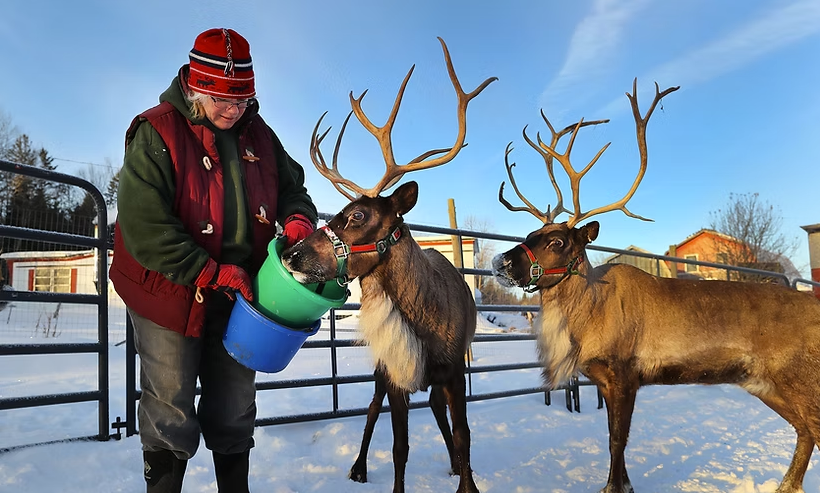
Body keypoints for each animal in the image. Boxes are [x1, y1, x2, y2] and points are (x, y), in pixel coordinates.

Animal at [281, 37, 496, 493]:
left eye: (358, 215)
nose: (292, 253)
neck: (424, 323)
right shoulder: (396, 372)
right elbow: (400, 447)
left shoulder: (455, 370)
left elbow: (465, 435)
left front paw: (467, 480)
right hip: (382, 366)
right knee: (370, 409)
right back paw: (359, 467)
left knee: (435, 408)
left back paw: (454, 463)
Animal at [491, 78, 820, 493]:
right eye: (530, 233)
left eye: (558, 242)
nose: (500, 262)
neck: (588, 318)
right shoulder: (603, 381)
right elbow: (612, 437)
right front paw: (625, 484)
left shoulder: (624, 375)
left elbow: (617, 439)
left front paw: (613, 487)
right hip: (765, 384)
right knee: (805, 431)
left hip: (798, 378)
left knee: (812, 428)